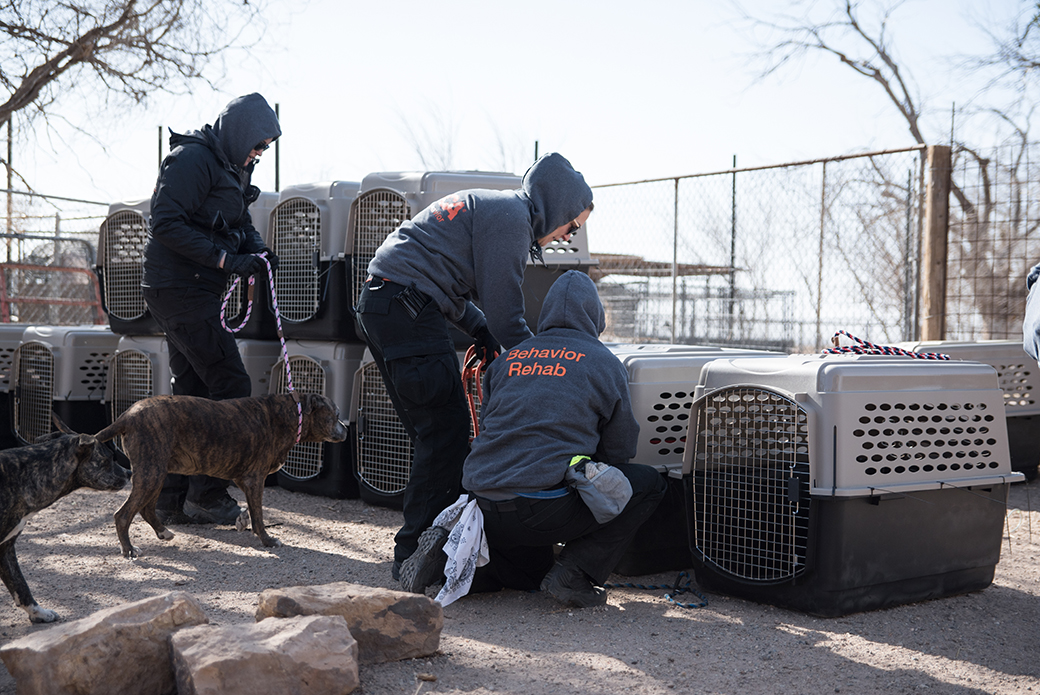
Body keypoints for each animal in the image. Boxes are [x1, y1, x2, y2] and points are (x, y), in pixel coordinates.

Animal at [94, 391, 345, 557]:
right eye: (337, 413)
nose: (346, 429)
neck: (292, 413)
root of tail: (128, 415)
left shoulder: (246, 480)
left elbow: (253, 511)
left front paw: (244, 520)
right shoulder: (255, 480)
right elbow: (259, 516)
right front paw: (267, 541)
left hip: (156, 474)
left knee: (146, 508)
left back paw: (163, 532)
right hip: (151, 473)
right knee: (123, 515)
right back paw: (128, 549)